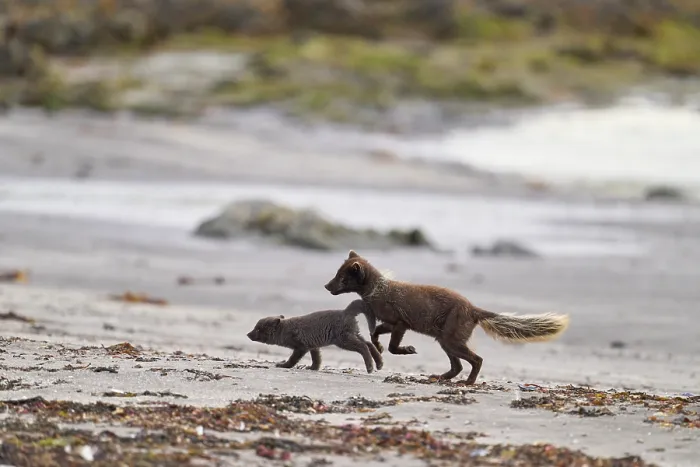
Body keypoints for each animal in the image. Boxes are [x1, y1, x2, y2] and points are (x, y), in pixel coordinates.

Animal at [246, 299, 383, 373]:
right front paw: (313, 368)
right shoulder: (313, 345)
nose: (248, 334)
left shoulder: (301, 347)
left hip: (343, 339)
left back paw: (370, 367)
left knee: (363, 346)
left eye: (258, 329)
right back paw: (379, 363)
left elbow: (293, 359)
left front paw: (283, 365)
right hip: (353, 333)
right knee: (368, 343)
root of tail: (346, 311)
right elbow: (317, 358)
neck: (285, 330)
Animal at [324, 250, 570, 384]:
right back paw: (439, 377)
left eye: (342, 277)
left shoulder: (400, 321)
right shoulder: (389, 321)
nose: (326, 286)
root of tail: (473, 309)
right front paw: (380, 348)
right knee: (457, 365)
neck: (379, 291)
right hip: (445, 339)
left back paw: (467, 382)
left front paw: (407, 349)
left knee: (476, 360)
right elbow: (375, 332)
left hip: (451, 334)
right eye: (337, 273)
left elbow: (394, 344)